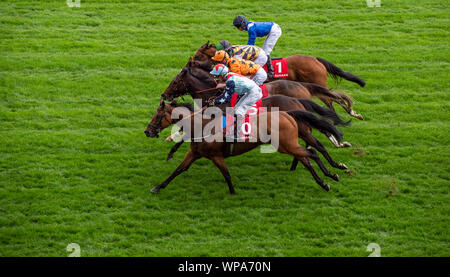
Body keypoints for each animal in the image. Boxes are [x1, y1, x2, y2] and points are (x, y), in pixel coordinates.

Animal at [144, 100, 344, 193]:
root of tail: (287, 113)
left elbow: (226, 174)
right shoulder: (194, 153)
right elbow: (178, 170)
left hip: (286, 145)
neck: (201, 125)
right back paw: (324, 181)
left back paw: (332, 173)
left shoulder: (216, 156)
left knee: (312, 152)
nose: (147, 131)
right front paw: (158, 187)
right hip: (288, 145)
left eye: (157, 115)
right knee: (306, 158)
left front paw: (232, 192)